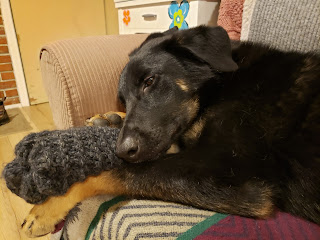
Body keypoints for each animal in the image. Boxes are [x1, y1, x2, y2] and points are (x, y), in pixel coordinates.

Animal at [21, 26, 318, 236]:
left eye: (150, 81)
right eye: (123, 99)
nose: (122, 150)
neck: (220, 87)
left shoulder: (233, 177)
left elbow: (114, 172)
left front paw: (45, 208)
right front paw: (108, 118)